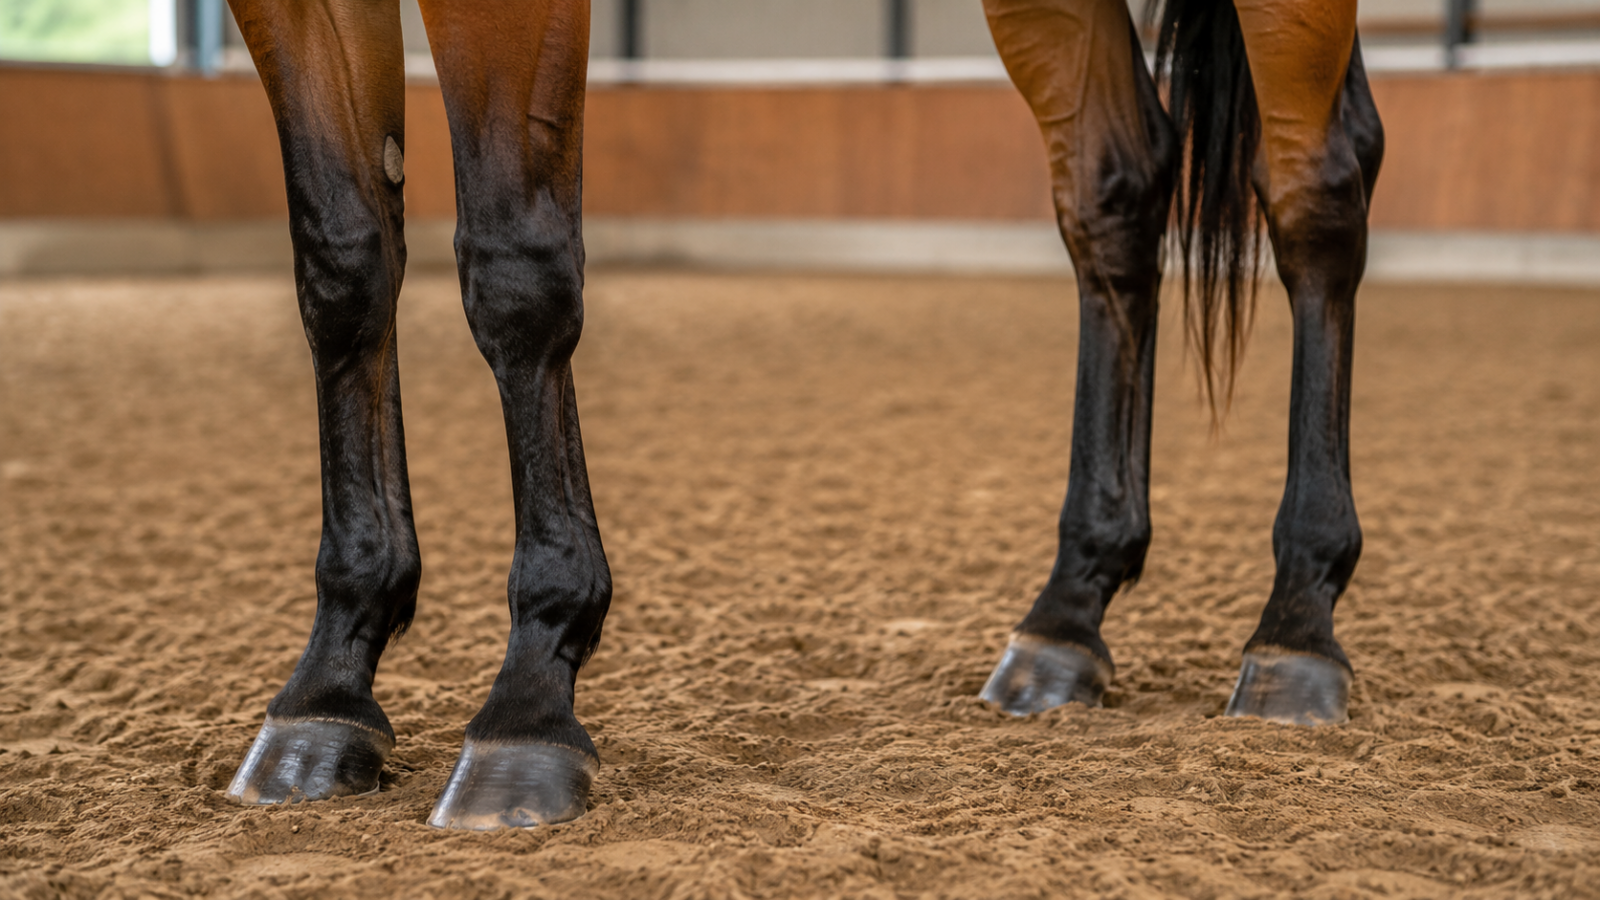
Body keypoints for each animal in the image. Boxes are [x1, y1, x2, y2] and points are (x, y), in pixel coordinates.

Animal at [222, 0, 1380, 830]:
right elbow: (344, 262)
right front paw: (329, 683)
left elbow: (513, 272)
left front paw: (531, 693)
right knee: (1115, 185)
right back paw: (1067, 612)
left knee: (1314, 180)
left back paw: (1296, 621)